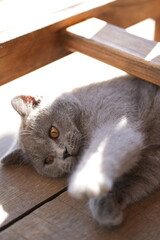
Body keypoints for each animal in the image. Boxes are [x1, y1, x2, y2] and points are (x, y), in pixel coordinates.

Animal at [0, 75, 160, 227]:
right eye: (49, 160)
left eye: (53, 132)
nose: (64, 153)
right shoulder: (149, 163)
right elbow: (133, 181)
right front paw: (105, 210)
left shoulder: (116, 125)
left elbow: (102, 153)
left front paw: (85, 184)